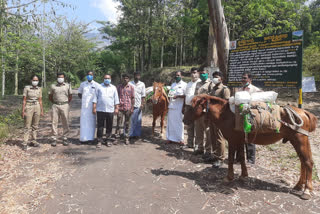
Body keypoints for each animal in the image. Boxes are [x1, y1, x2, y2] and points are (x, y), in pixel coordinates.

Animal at [182, 94, 318, 200]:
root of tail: (303, 112)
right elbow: (242, 158)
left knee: (308, 162)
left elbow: (231, 159)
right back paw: (299, 185)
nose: (184, 120)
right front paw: (243, 175)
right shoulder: (240, 141)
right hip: (296, 141)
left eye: (192, 106)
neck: (225, 114)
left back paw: (307, 190)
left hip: (300, 140)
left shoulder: (232, 140)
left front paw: (229, 177)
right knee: (303, 162)